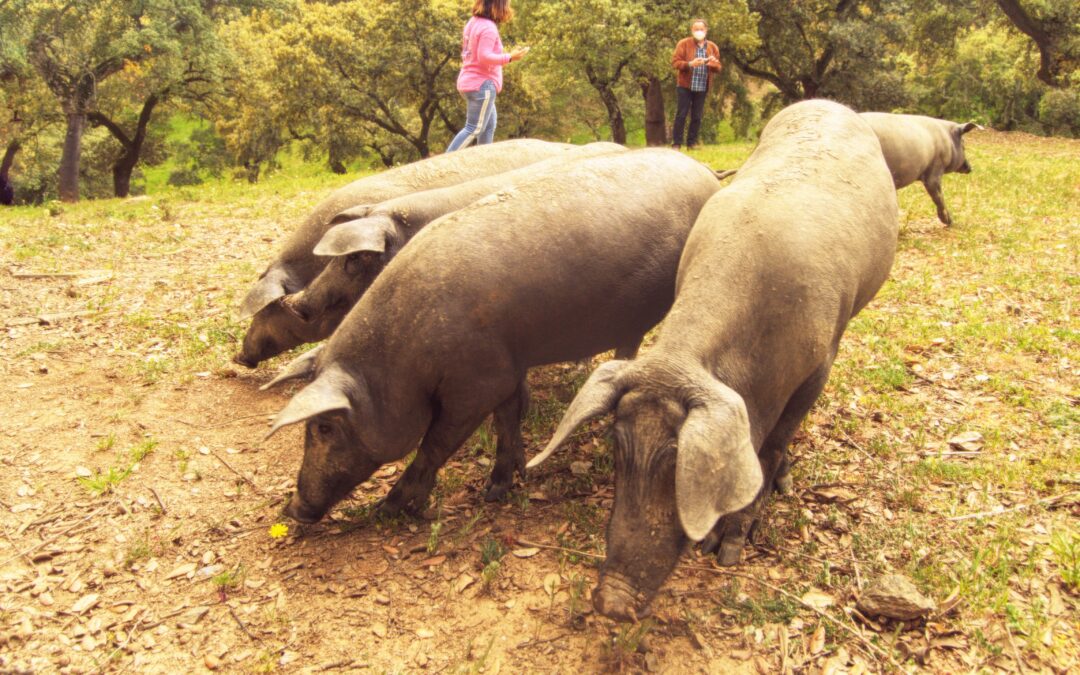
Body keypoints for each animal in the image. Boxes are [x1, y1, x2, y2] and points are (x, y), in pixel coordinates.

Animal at [527, 99, 898, 622]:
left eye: (677, 459)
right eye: (617, 443)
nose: (611, 601)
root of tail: (826, 102)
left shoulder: (819, 364)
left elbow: (774, 445)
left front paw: (728, 551)